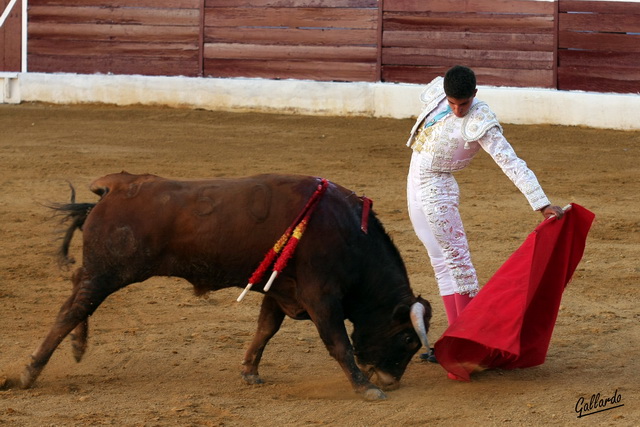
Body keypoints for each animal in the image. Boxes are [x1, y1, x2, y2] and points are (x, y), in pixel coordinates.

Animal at [17, 172, 432, 400]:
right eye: (407, 339)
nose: (392, 381)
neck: (349, 234)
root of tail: (117, 186)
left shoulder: (280, 289)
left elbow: (265, 329)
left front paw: (249, 371)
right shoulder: (321, 296)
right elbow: (338, 343)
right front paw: (366, 388)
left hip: (101, 270)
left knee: (78, 297)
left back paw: (76, 346)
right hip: (109, 270)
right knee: (73, 307)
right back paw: (28, 373)